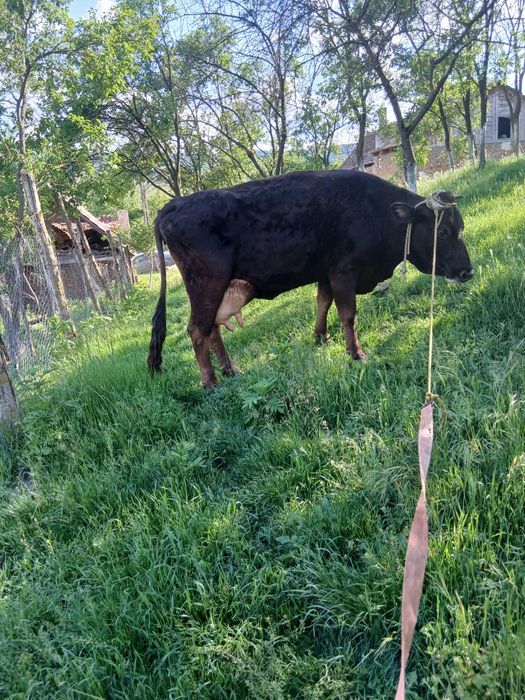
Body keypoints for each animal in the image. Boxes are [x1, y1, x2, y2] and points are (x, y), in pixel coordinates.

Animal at [148, 170, 473, 387]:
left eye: (461, 227)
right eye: (443, 231)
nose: (467, 271)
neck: (376, 213)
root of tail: (175, 204)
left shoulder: (326, 272)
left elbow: (323, 303)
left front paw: (321, 337)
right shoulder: (344, 270)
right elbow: (348, 314)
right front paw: (356, 353)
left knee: (212, 328)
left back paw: (231, 370)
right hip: (207, 283)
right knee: (197, 330)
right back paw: (211, 381)